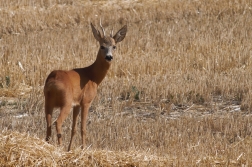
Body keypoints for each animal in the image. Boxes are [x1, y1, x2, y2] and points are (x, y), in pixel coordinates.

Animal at [43, 22, 128, 151]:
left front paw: (70, 149)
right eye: (102, 46)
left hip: (48, 101)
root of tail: (53, 81)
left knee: (48, 125)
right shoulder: (86, 101)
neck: (92, 76)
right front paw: (83, 148)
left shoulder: (77, 104)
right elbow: (83, 128)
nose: (109, 57)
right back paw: (60, 146)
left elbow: (74, 128)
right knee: (57, 122)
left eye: (114, 46)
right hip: (66, 102)